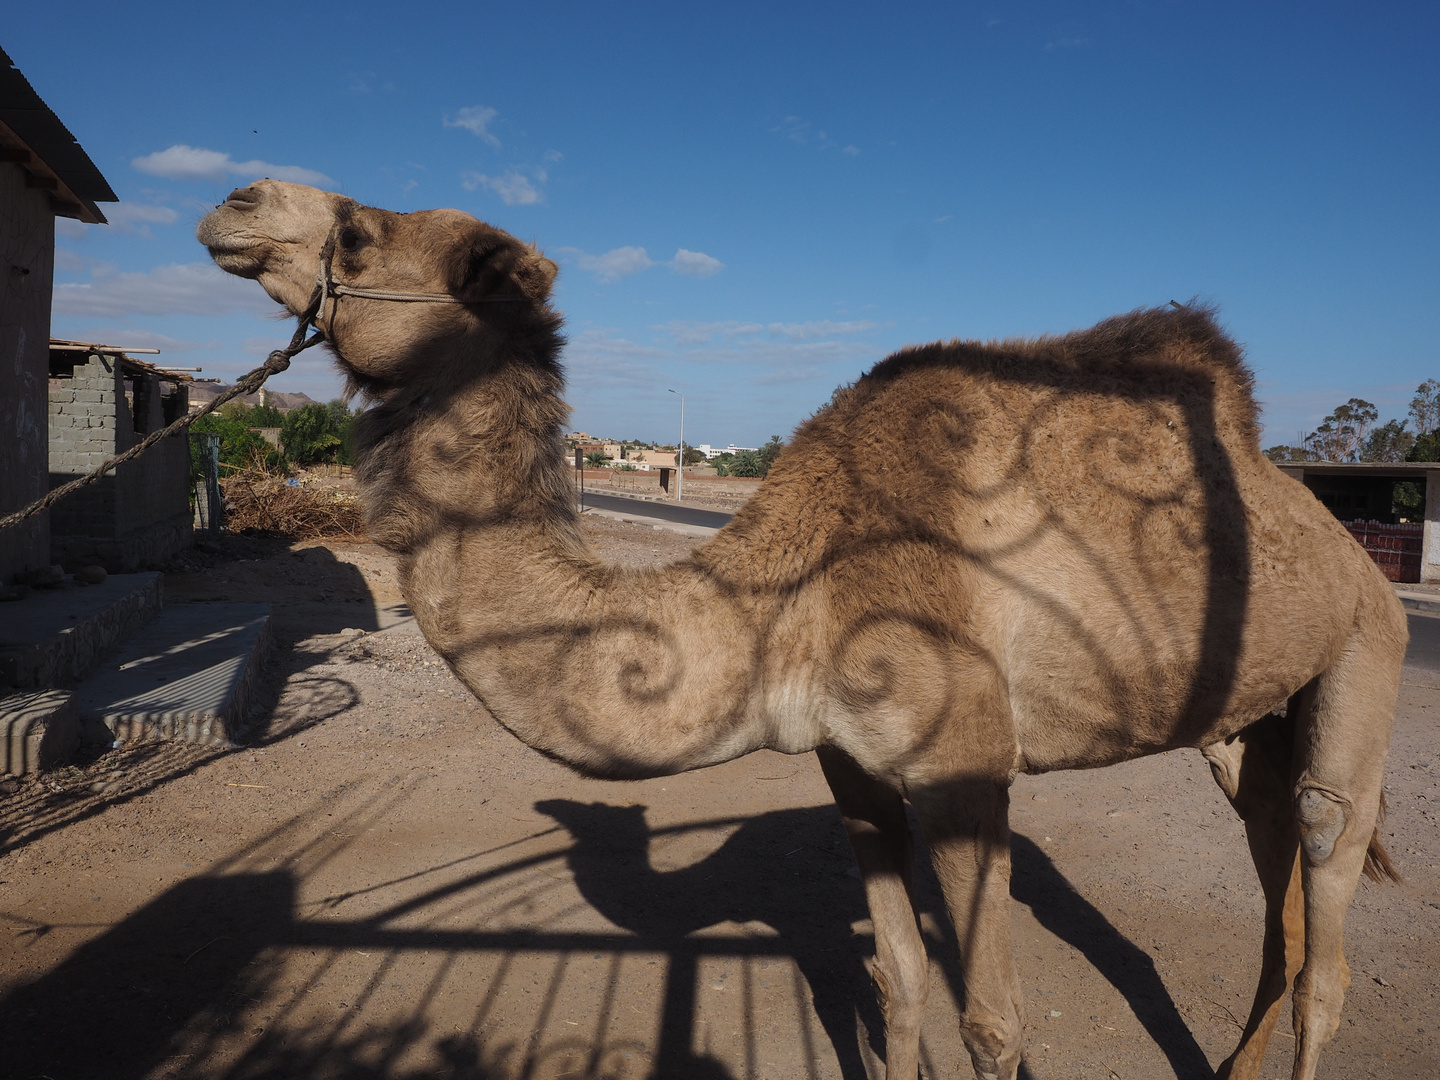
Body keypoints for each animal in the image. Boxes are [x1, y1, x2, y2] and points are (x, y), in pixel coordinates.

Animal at [200, 182, 1405, 1077]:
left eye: (359, 233)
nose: (235, 200)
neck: (783, 587)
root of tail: (1345, 544)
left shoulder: (968, 767)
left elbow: (992, 1024)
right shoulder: (851, 766)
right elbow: (895, 977)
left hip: (1366, 653)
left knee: (1326, 903)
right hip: (1243, 725)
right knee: (1279, 894)